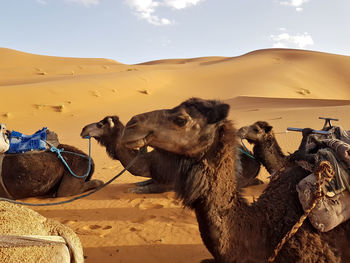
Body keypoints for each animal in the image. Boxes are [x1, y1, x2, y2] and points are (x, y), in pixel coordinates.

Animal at [80, 115, 262, 194]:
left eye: (100, 124)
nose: (83, 129)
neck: (149, 162)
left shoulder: (168, 183)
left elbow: (145, 189)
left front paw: (135, 189)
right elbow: (145, 182)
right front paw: (138, 184)